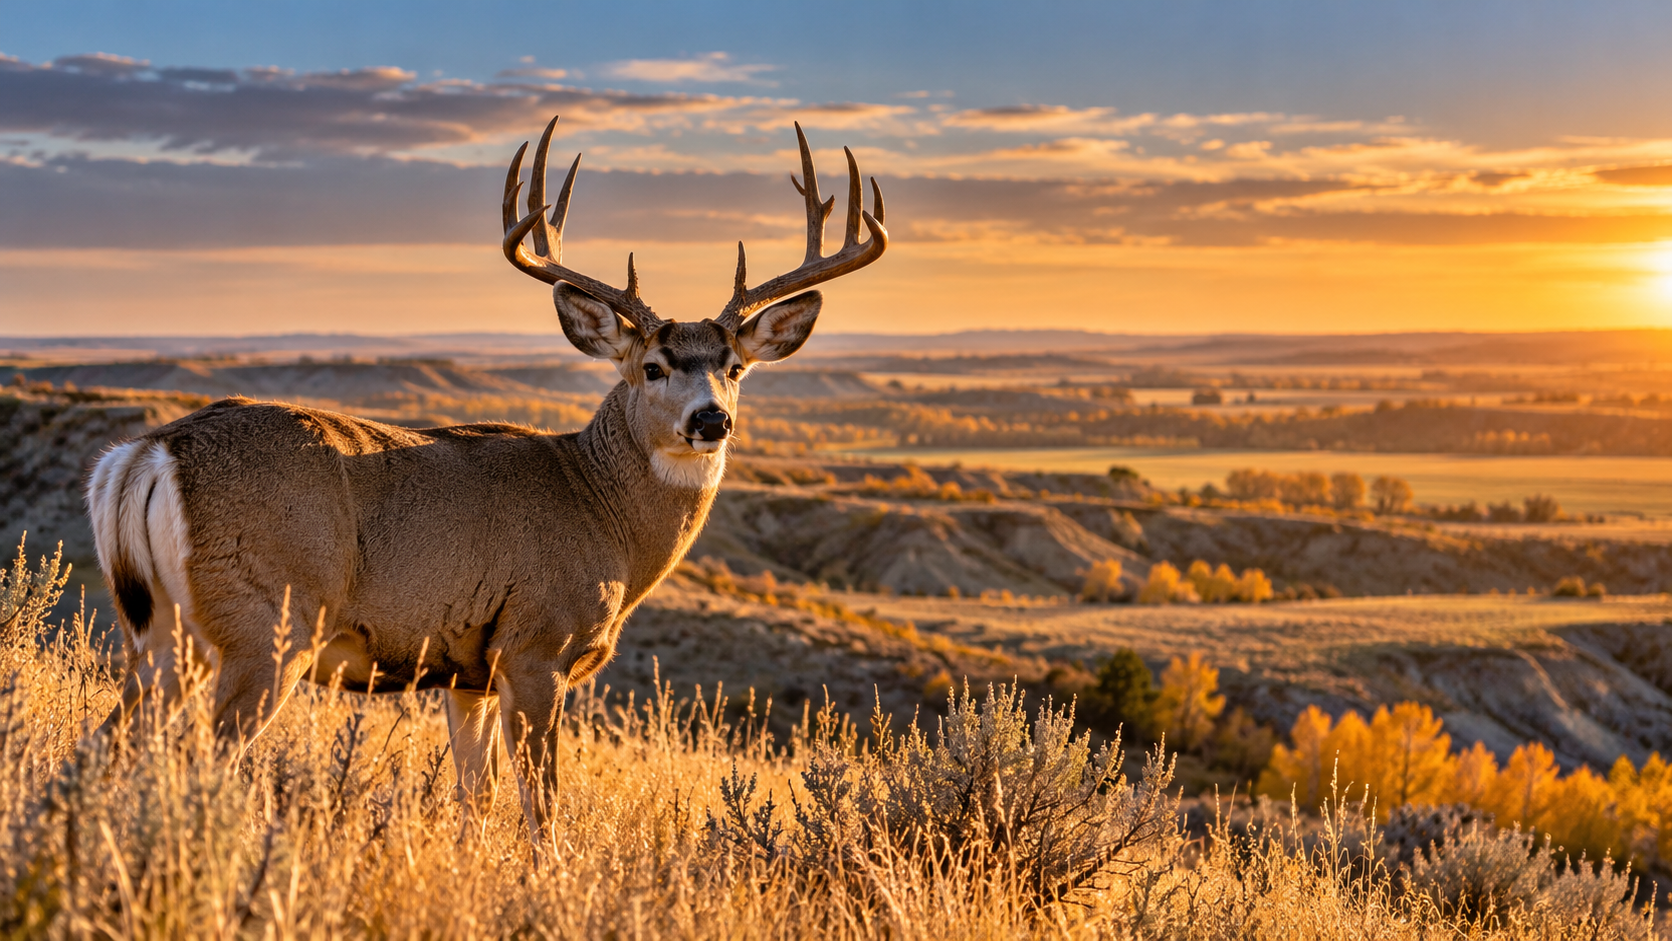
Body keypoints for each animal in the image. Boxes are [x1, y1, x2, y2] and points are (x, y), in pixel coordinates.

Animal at [85, 114, 887, 840]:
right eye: (654, 366)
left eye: (736, 367)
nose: (710, 419)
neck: (606, 514)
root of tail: (149, 451)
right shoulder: (536, 644)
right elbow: (542, 806)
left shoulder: (467, 673)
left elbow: (476, 798)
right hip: (266, 624)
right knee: (202, 758)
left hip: (160, 633)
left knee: (106, 746)